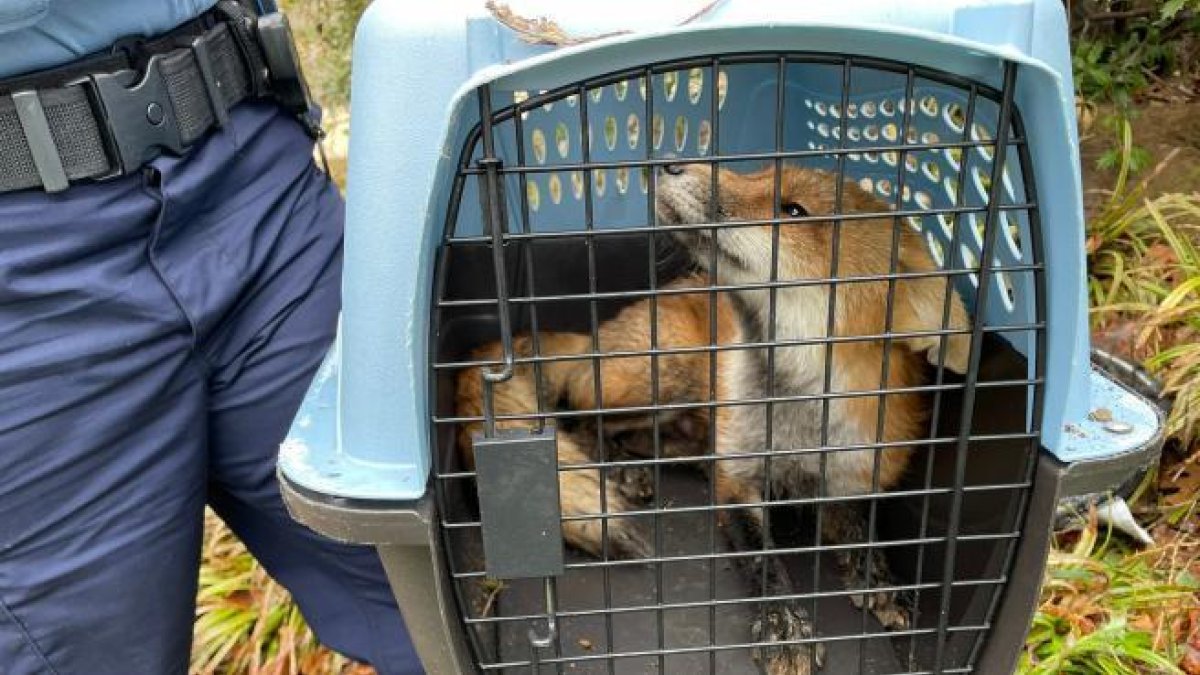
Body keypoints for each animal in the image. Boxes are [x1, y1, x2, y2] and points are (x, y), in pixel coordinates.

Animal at [453, 163, 969, 672]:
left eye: (794, 210)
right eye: (760, 171)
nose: (671, 163)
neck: (796, 420)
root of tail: (595, 336)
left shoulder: (853, 474)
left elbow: (863, 531)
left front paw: (882, 582)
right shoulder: (737, 481)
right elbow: (763, 559)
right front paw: (785, 625)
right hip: (663, 372)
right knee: (580, 421)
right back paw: (621, 470)